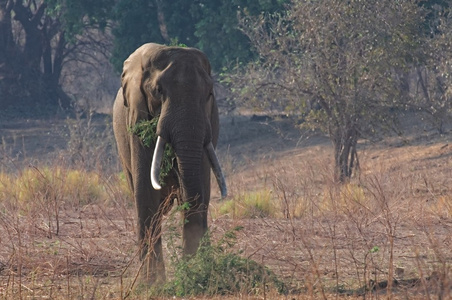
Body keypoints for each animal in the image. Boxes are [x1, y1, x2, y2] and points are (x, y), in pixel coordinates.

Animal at [113, 42, 226, 284]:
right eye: (158, 91)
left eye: (209, 94)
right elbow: (146, 193)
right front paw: (151, 285)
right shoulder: (137, 118)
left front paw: (195, 274)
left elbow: (200, 190)